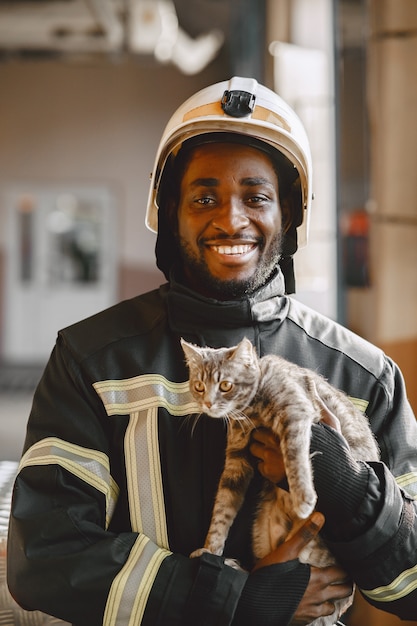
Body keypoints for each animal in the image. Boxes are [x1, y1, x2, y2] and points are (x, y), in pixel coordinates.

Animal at [180, 336, 378, 624]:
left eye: (226, 385)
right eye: (199, 386)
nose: (207, 403)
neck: (251, 409)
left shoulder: (296, 413)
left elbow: (296, 458)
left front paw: (304, 498)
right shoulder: (236, 461)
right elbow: (222, 511)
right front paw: (210, 550)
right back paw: (234, 565)